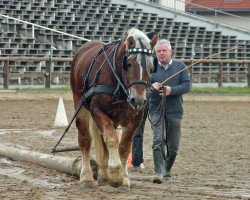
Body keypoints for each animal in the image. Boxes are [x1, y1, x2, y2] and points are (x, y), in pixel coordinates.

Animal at [70, 27, 158, 188]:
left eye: (151, 67)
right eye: (129, 64)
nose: (138, 99)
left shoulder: (136, 117)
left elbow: (124, 145)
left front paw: (123, 178)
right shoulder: (97, 110)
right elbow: (111, 138)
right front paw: (116, 175)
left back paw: (104, 175)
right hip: (81, 105)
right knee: (85, 139)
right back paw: (87, 177)